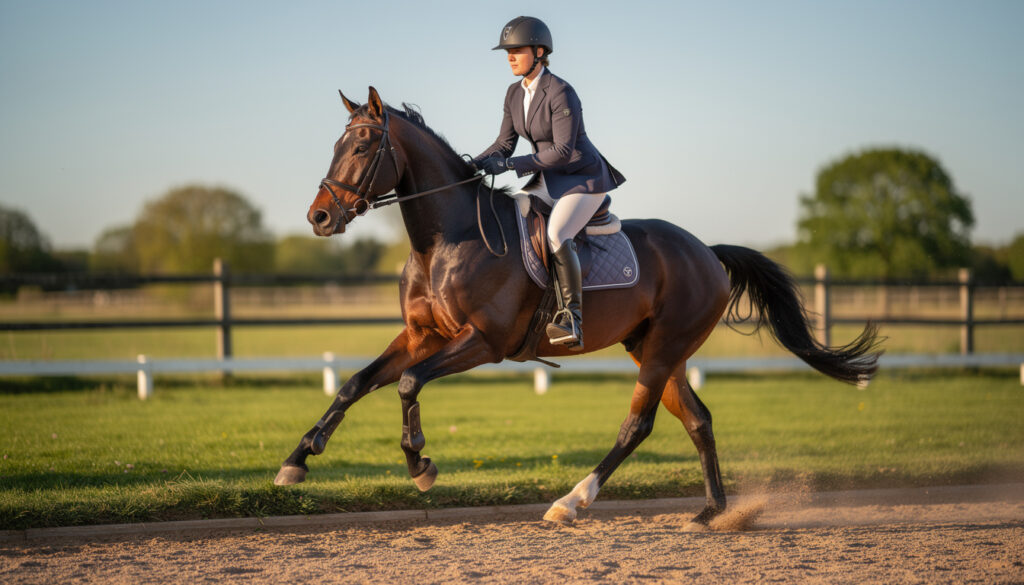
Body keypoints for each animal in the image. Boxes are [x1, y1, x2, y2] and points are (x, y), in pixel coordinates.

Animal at [273, 87, 882, 527]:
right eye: (336, 147)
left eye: (360, 148)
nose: (319, 218)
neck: (445, 240)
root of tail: (707, 251)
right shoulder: (421, 336)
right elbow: (356, 382)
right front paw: (297, 460)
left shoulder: (482, 343)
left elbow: (406, 384)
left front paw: (420, 463)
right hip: (656, 349)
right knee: (697, 419)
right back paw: (712, 513)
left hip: (662, 349)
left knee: (636, 425)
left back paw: (573, 500)